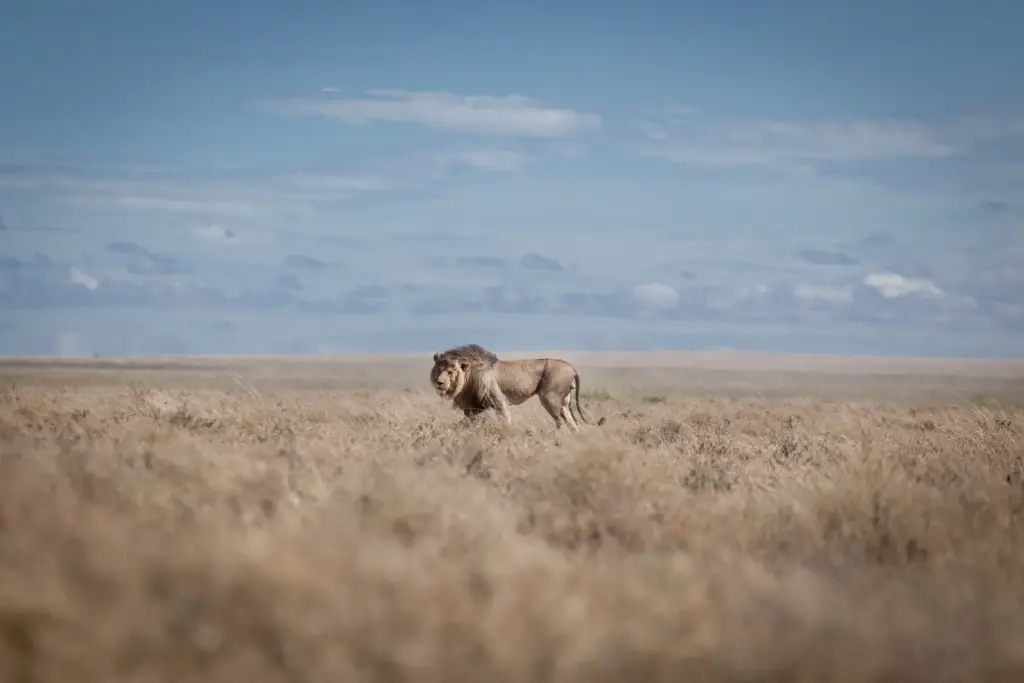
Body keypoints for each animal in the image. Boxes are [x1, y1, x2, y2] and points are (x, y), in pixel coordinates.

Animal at [429, 343, 605, 432]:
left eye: (450, 372)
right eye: (438, 369)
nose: (439, 382)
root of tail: (572, 367)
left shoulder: (498, 399)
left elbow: (506, 419)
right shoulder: (472, 408)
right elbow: (465, 423)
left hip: (549, 397)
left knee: (560, 422)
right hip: (564, 403)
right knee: (573, 424)